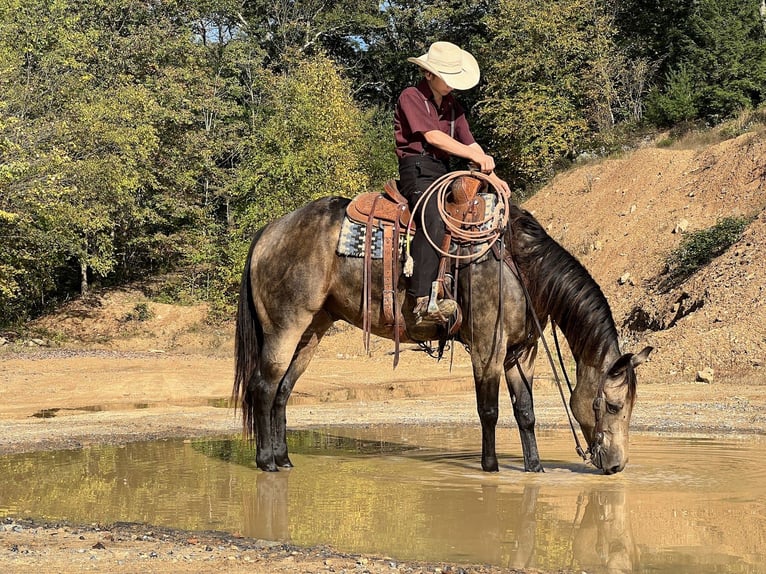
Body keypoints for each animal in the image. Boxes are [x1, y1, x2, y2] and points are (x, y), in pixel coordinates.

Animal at [234, 182, 656, 474]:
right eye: (614, 405)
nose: (616, 465)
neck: (520, 267)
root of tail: (270, 231)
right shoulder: (488, 348)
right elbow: (489, 410)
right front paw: (490, 467)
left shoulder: (521, 354)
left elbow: (526, 411)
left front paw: (534, 467)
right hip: (284, 328)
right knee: (264, 386)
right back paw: (266, 461)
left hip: (311, 331)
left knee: (282, 392)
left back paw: (284, 458)